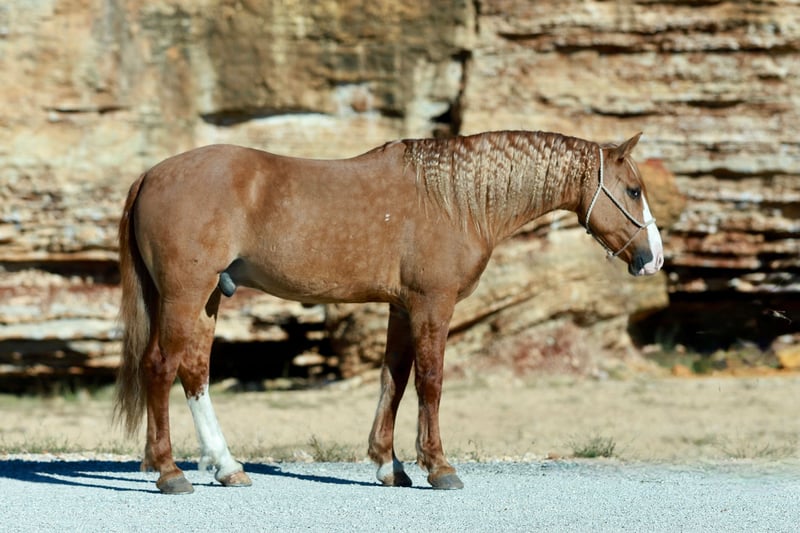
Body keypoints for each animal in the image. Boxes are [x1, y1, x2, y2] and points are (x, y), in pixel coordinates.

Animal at [114, 130, 664, 494]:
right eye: (633, 190)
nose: (653, 258)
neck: (453, 200)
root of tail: (150, 175)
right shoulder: (431, 304)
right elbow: (430, 382)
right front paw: (439, 467)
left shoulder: (402, 308)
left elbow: (393, 381)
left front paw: (389, 465)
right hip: (186, 295)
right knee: (161, 368)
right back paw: (169, 472)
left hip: (206, 298)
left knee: (194, 373)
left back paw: (226, 467)